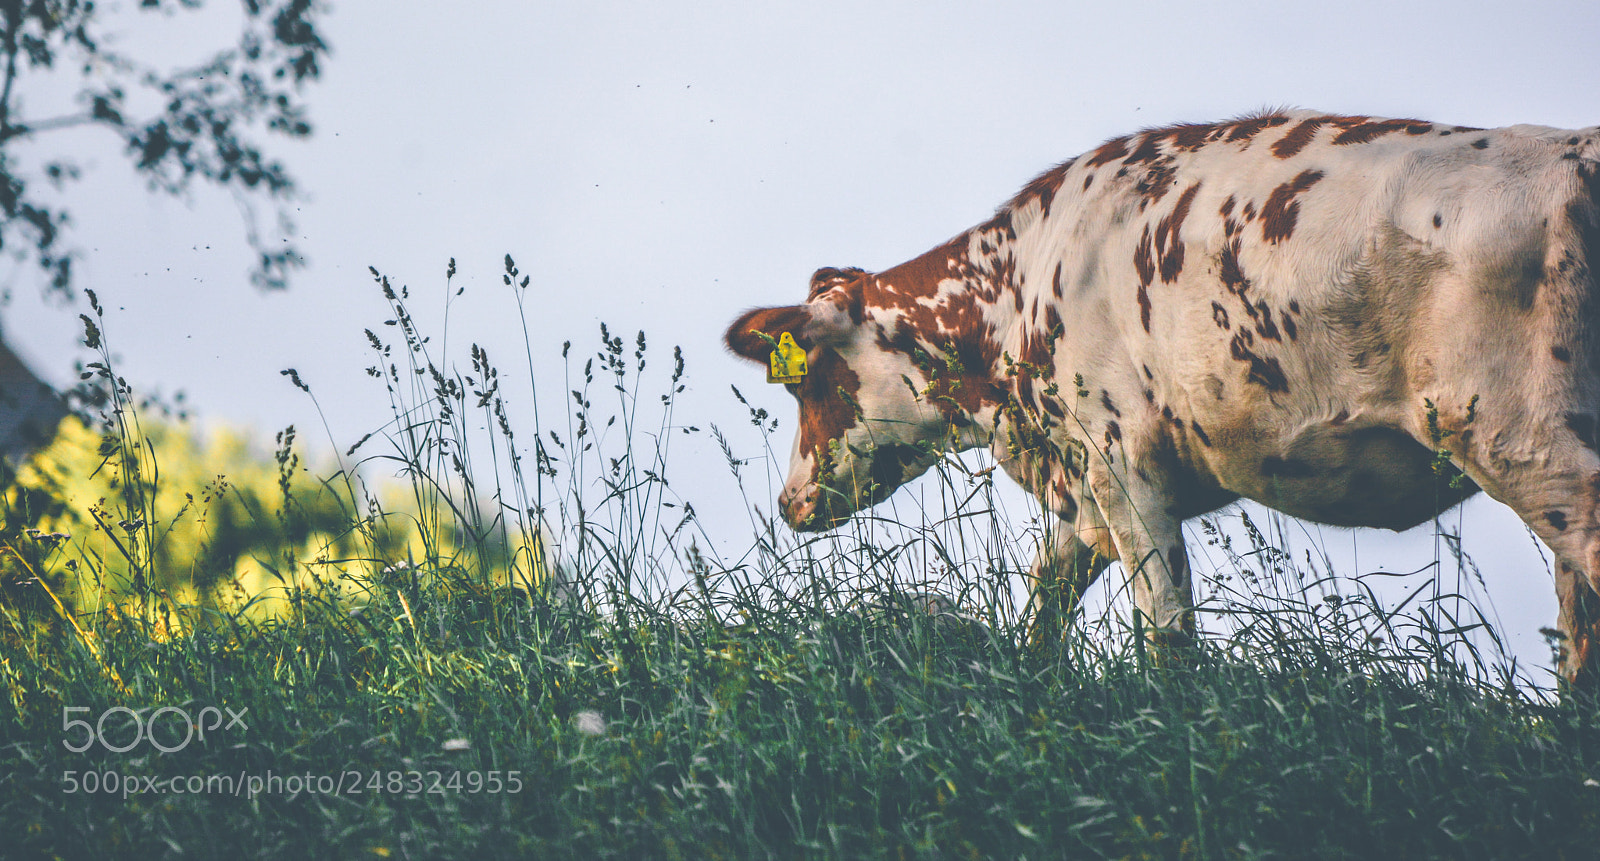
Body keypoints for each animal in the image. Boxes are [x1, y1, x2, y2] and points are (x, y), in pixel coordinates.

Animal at [725, 109, 1600, 688]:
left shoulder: (1124, 464)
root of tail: (1573, 149)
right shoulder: (1085, 482)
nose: (790, 501)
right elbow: (1045, 602)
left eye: (806, 379)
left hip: (1520, 437)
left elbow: (1167, 633)